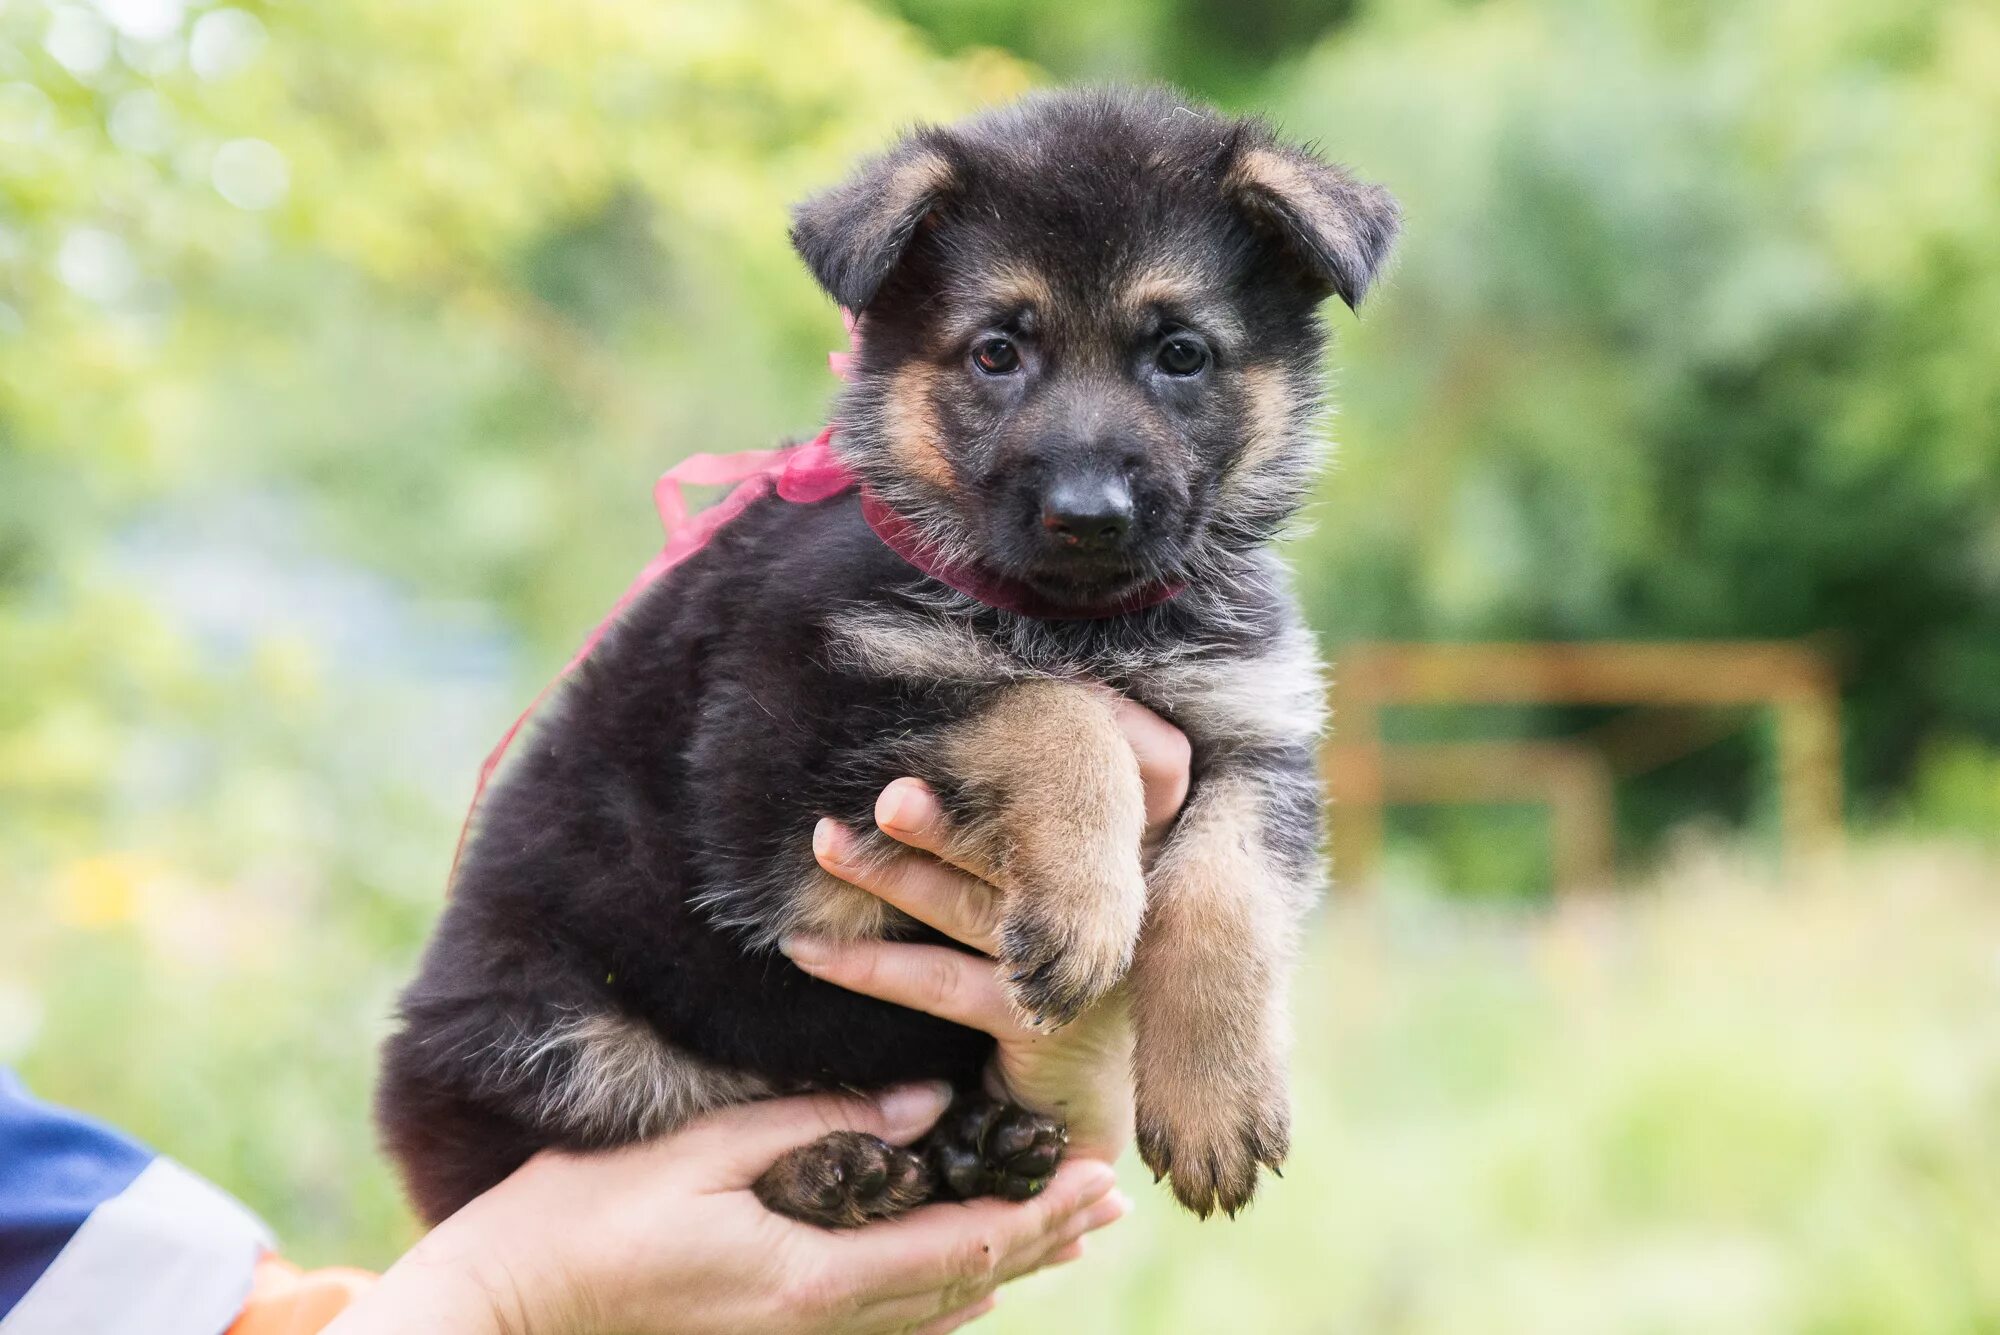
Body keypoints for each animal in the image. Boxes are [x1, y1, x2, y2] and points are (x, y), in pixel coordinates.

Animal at [382, 85, 1400, 1231]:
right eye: (996, 352)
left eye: (1180, 354)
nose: (1087, 516)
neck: (1083, 620)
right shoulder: (782, 783)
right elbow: (1046, 708)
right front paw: (1087, 904)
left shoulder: (1256, 735)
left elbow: (1227, 893)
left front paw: (1216, 1100)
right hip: (547, 1030)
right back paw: (832, 1168)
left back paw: (979, 1143)